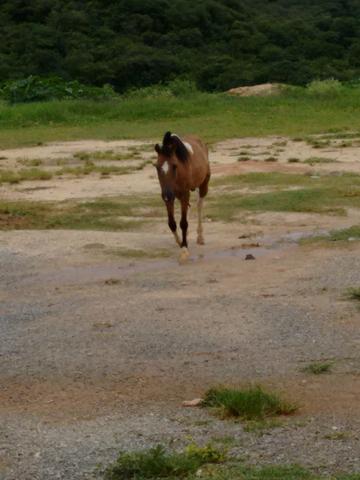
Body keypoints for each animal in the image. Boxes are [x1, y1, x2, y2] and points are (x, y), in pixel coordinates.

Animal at [155, 131, 211, 262]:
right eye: (157, 167)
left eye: (175, 166)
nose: (167, 193)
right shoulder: (168, 198)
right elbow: (172, 223)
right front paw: (180, 242)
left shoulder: (184, 194)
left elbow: (183, 223)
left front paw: (184, 249)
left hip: (203, 185)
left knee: (199, 206)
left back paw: (200, 237)